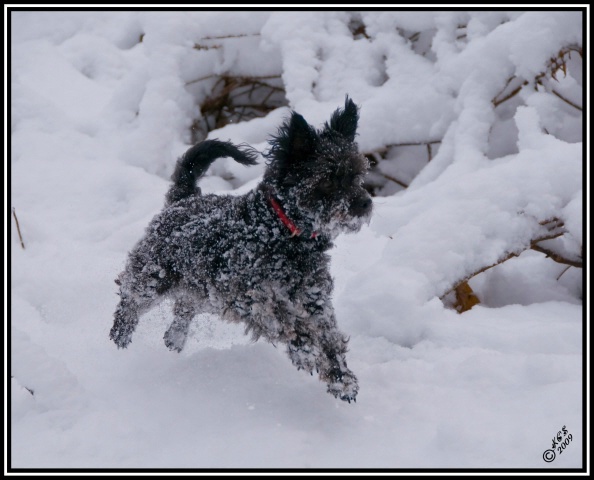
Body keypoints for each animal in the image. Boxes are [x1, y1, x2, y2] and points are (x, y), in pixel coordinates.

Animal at [108, 97, 370, 402]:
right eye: (328, 179)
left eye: (357, 174)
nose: (366, 203)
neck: (281, 232)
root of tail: (183, 198)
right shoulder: (250, 297)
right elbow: (288, 325)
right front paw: (305, 351)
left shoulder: (314, 298)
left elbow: (329, 337)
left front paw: (341, 377)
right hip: (153, 277)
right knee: (129, 301)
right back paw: (120, 340)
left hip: (203, 291)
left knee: (183, 308)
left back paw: (174, 340)